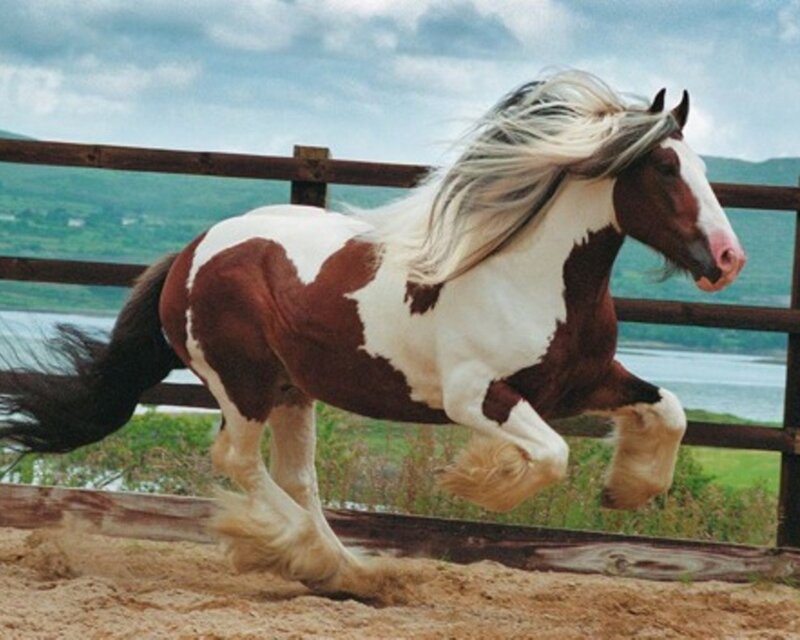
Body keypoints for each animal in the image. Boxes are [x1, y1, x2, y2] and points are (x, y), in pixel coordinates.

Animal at [0, 70, 745, 597]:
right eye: (666, 168)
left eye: (706, 169)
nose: (729, 258)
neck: (531, 276)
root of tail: (191, 252)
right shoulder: (474, 396)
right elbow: (553, 454)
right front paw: (477, 481)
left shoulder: (585, 381)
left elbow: (671, 412)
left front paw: (627, 491)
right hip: (241, 382)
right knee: (238, 462)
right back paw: (305, 554)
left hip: (292, 389)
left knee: (296, 477)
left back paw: (348, 571)